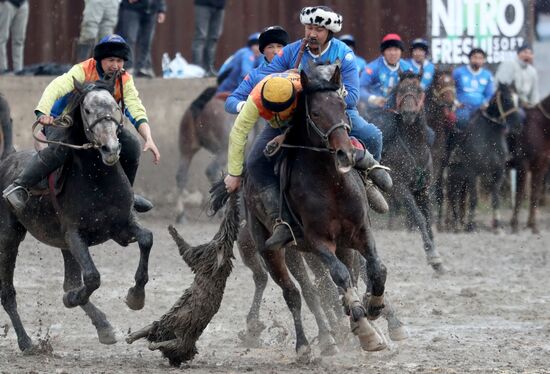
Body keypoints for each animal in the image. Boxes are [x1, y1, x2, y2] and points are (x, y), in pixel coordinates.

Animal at [0, 77, 153, 352]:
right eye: (88, 110)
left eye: (115, 106)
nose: (110, 148)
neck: (98, 180)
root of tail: (7, 159)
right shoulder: (74, 234)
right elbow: (92, 278)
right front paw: (71, 299)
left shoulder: (123, 225)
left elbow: (146, 239)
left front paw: (136, 297)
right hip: (9, 236)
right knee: (7, 293)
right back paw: (26, 342)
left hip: (62, 246)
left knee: (69, 281)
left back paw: (103, 327)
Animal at [448, 83, 520, 232]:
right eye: (506, 99)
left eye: (518, 100)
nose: (518, 125)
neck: (489, 137)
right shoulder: (473, 173)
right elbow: (474, 198)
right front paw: (471, 225)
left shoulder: (498, 173)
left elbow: (495, 198)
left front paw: (496, 224)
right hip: (454, 174)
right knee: (453, 195)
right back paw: (456, 224)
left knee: (459, 196)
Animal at [512, 93, 550, 232]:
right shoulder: (523, 165)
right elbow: (520, 194)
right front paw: (514, 224)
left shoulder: (540, 167)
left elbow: (535, 194)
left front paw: (532, 225)